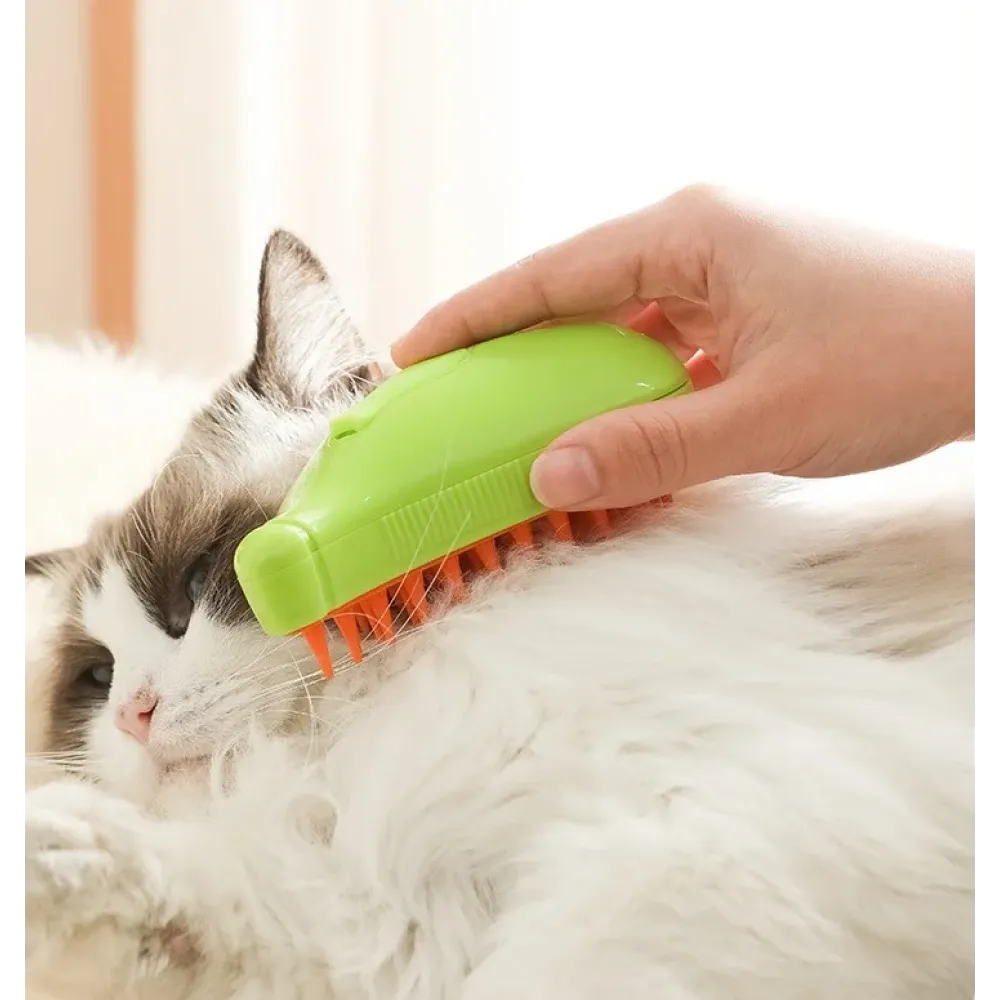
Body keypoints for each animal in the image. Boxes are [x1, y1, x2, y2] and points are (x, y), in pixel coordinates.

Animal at [23, 230, 975, 1000]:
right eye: (97, 677)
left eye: (192, 585)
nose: (134, 714)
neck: (331, 764)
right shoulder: (385, 923)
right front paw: (49, 855)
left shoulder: (688, 837)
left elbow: (557, 970)